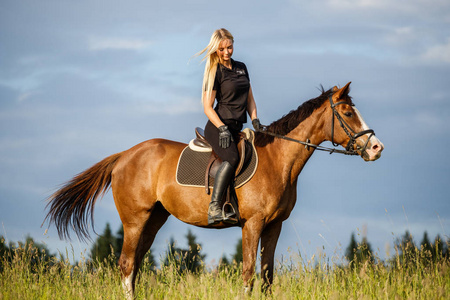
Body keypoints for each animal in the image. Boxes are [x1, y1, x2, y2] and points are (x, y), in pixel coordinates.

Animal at [44, 82, 384, 298]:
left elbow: (267, 277)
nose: (376, 148)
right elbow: (248, 275)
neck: (279, 160)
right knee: (127, 266)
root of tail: (124, 155)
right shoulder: (253, 224)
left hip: (154, 220)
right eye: (348, 113)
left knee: (135, 266)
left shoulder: (274, 226)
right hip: (134, 220)